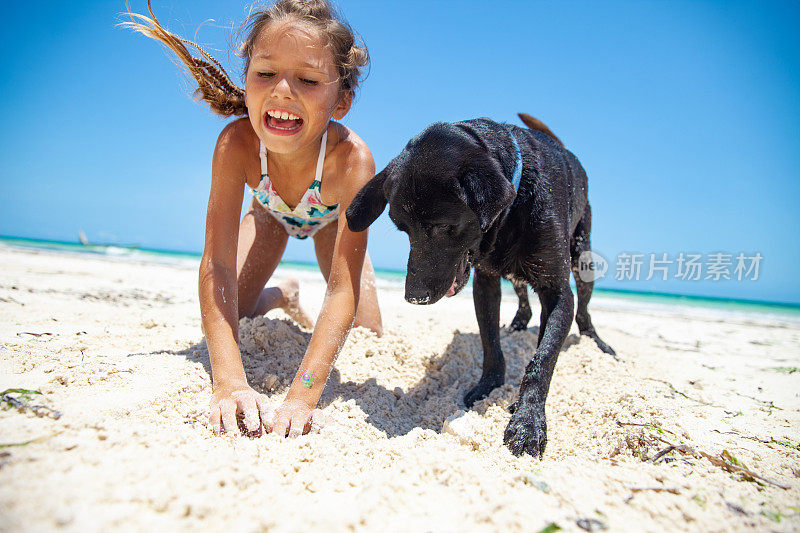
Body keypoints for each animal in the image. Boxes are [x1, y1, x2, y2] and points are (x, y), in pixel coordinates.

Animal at [346, 114, 616, 456]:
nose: (414, 297)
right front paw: (489, 385)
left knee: (584, 309)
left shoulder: (557, 292)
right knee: (522, 297)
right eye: (403, 228)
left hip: (583, 256)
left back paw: (597, 342)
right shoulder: (485, 283)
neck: (516, 201)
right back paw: (517, 325)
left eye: (444, 226)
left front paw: (528, 422)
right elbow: (490, 343)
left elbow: (542, 359)